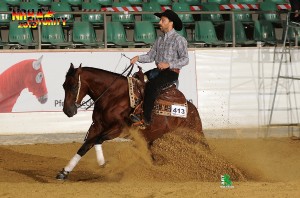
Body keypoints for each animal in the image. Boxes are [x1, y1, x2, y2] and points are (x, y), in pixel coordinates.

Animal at [55, 63, 206, 181]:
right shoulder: (97, 126)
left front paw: (105, 165)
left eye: (74, 86)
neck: (112, 96)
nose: (67, 110)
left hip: (193, 135)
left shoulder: (118, 128)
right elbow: (85, 146)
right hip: (153, 139)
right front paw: (64, 172)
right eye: (63, 85)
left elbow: (98, 140)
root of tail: (191, 108)